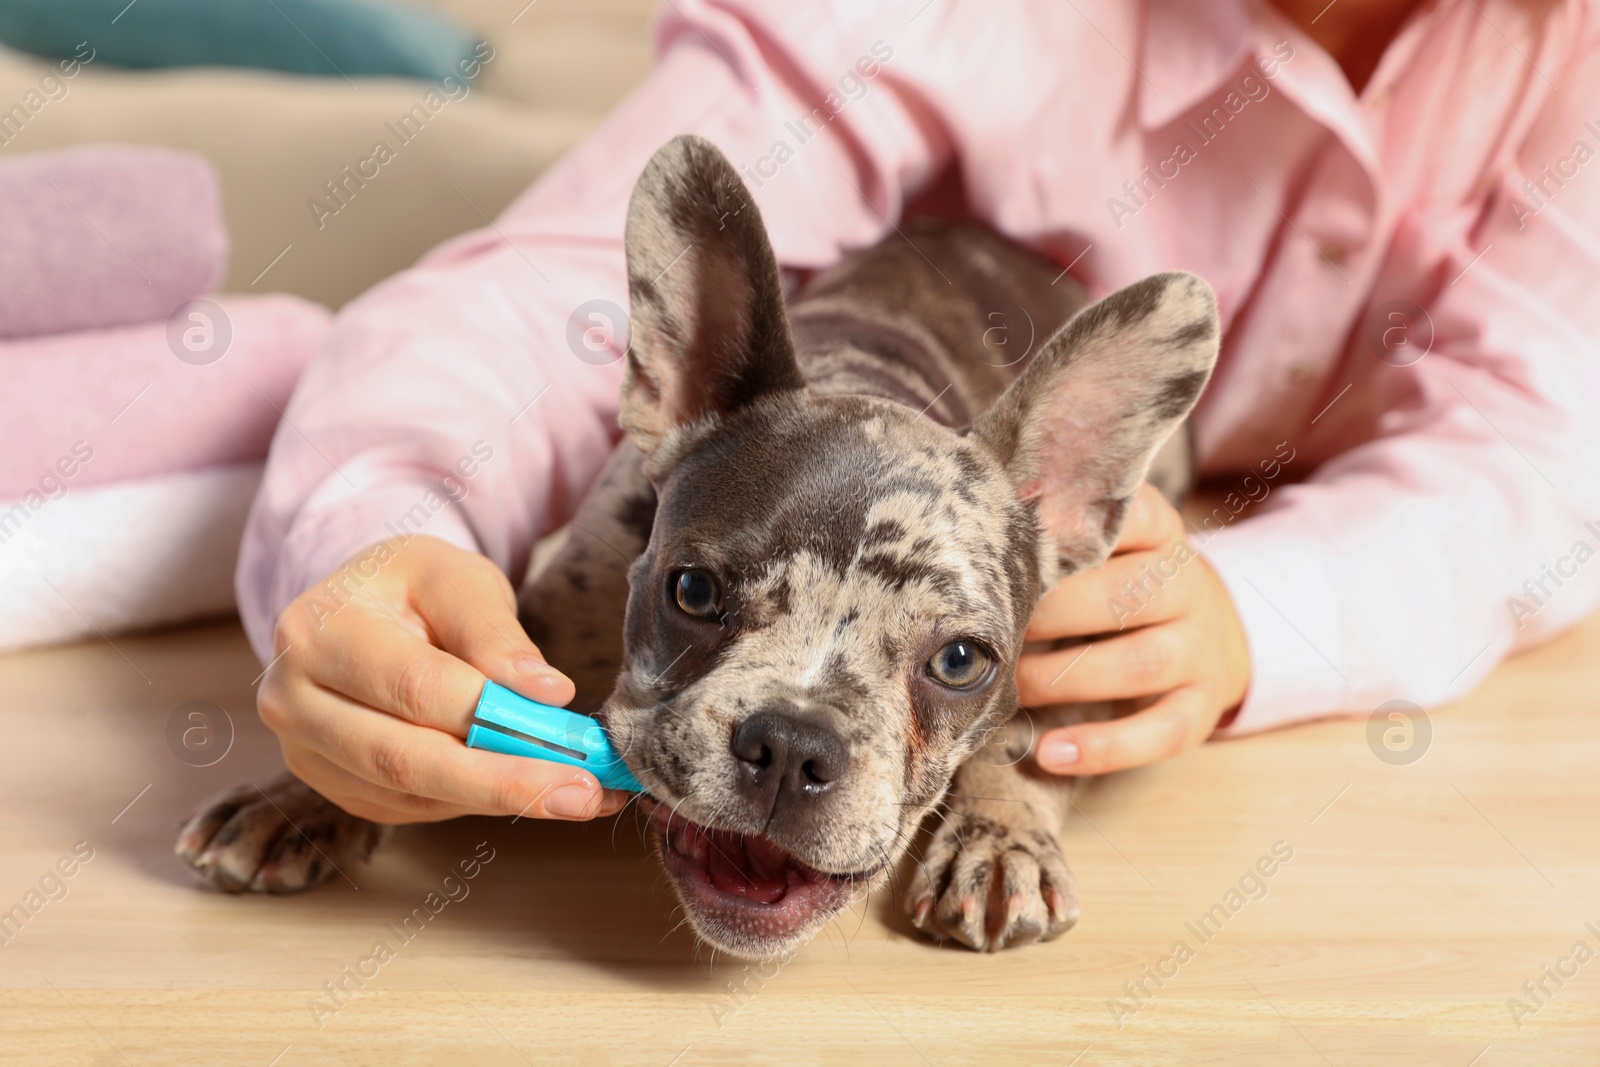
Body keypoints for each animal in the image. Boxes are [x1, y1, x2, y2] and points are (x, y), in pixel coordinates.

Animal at [175, 133, 1216, 959]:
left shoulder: (1086, 637)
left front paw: (999, 838)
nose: (794, 743)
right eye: (693, 592)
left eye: (961, 661)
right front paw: (311, 792)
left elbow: (1030, 743)